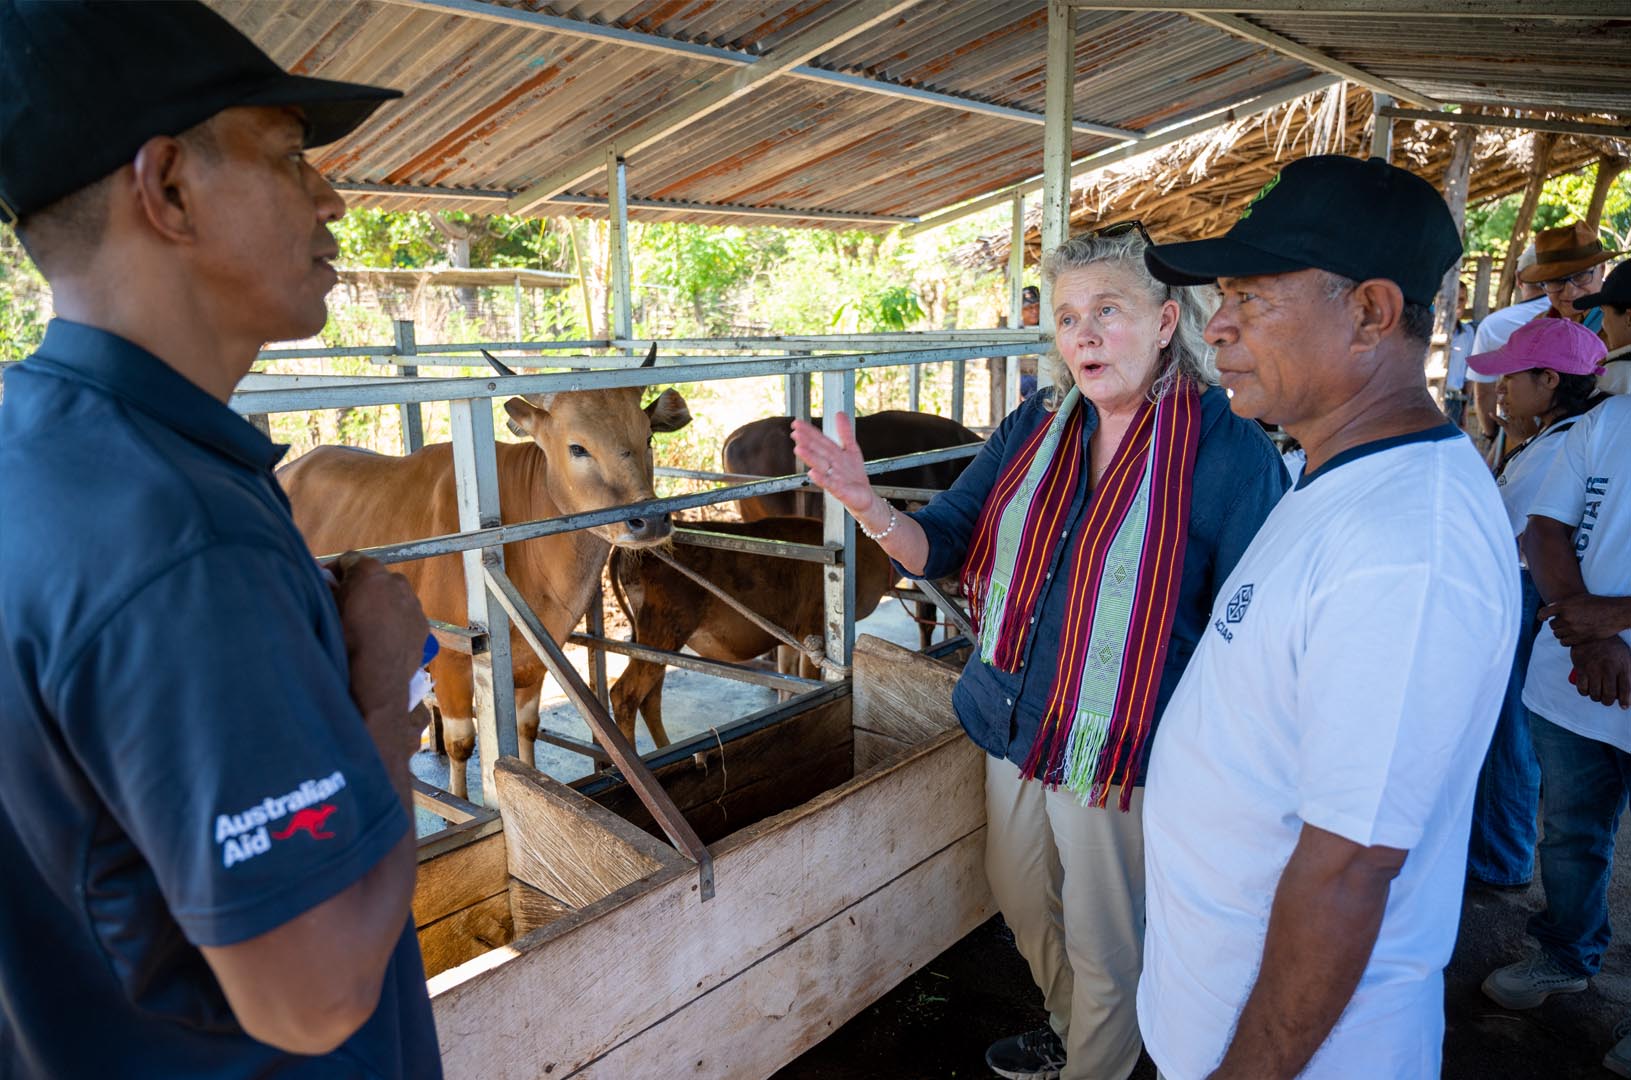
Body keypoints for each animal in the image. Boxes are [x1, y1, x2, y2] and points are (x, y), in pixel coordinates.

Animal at [609, 522, 900, 750]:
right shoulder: (814, 628)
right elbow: (808, 680)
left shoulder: (791, 634)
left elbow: (786, 685)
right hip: (665, 628)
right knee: (625, 693)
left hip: (657, 639)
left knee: (651, 697)